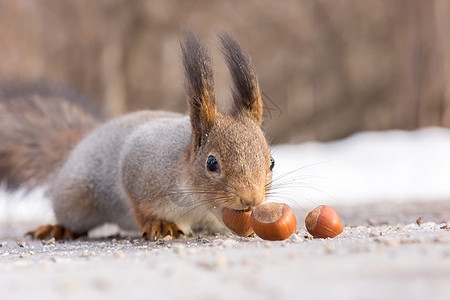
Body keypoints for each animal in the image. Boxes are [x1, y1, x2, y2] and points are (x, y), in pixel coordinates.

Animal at [0, 31, 274, 240]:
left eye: (271, 162)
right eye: (211, 163)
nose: (251, 200)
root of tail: (86, 138)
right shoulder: (139, 166)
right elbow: (140, 206)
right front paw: (159, 224)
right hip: (75, 200)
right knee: (72, 218)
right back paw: (58, 228)